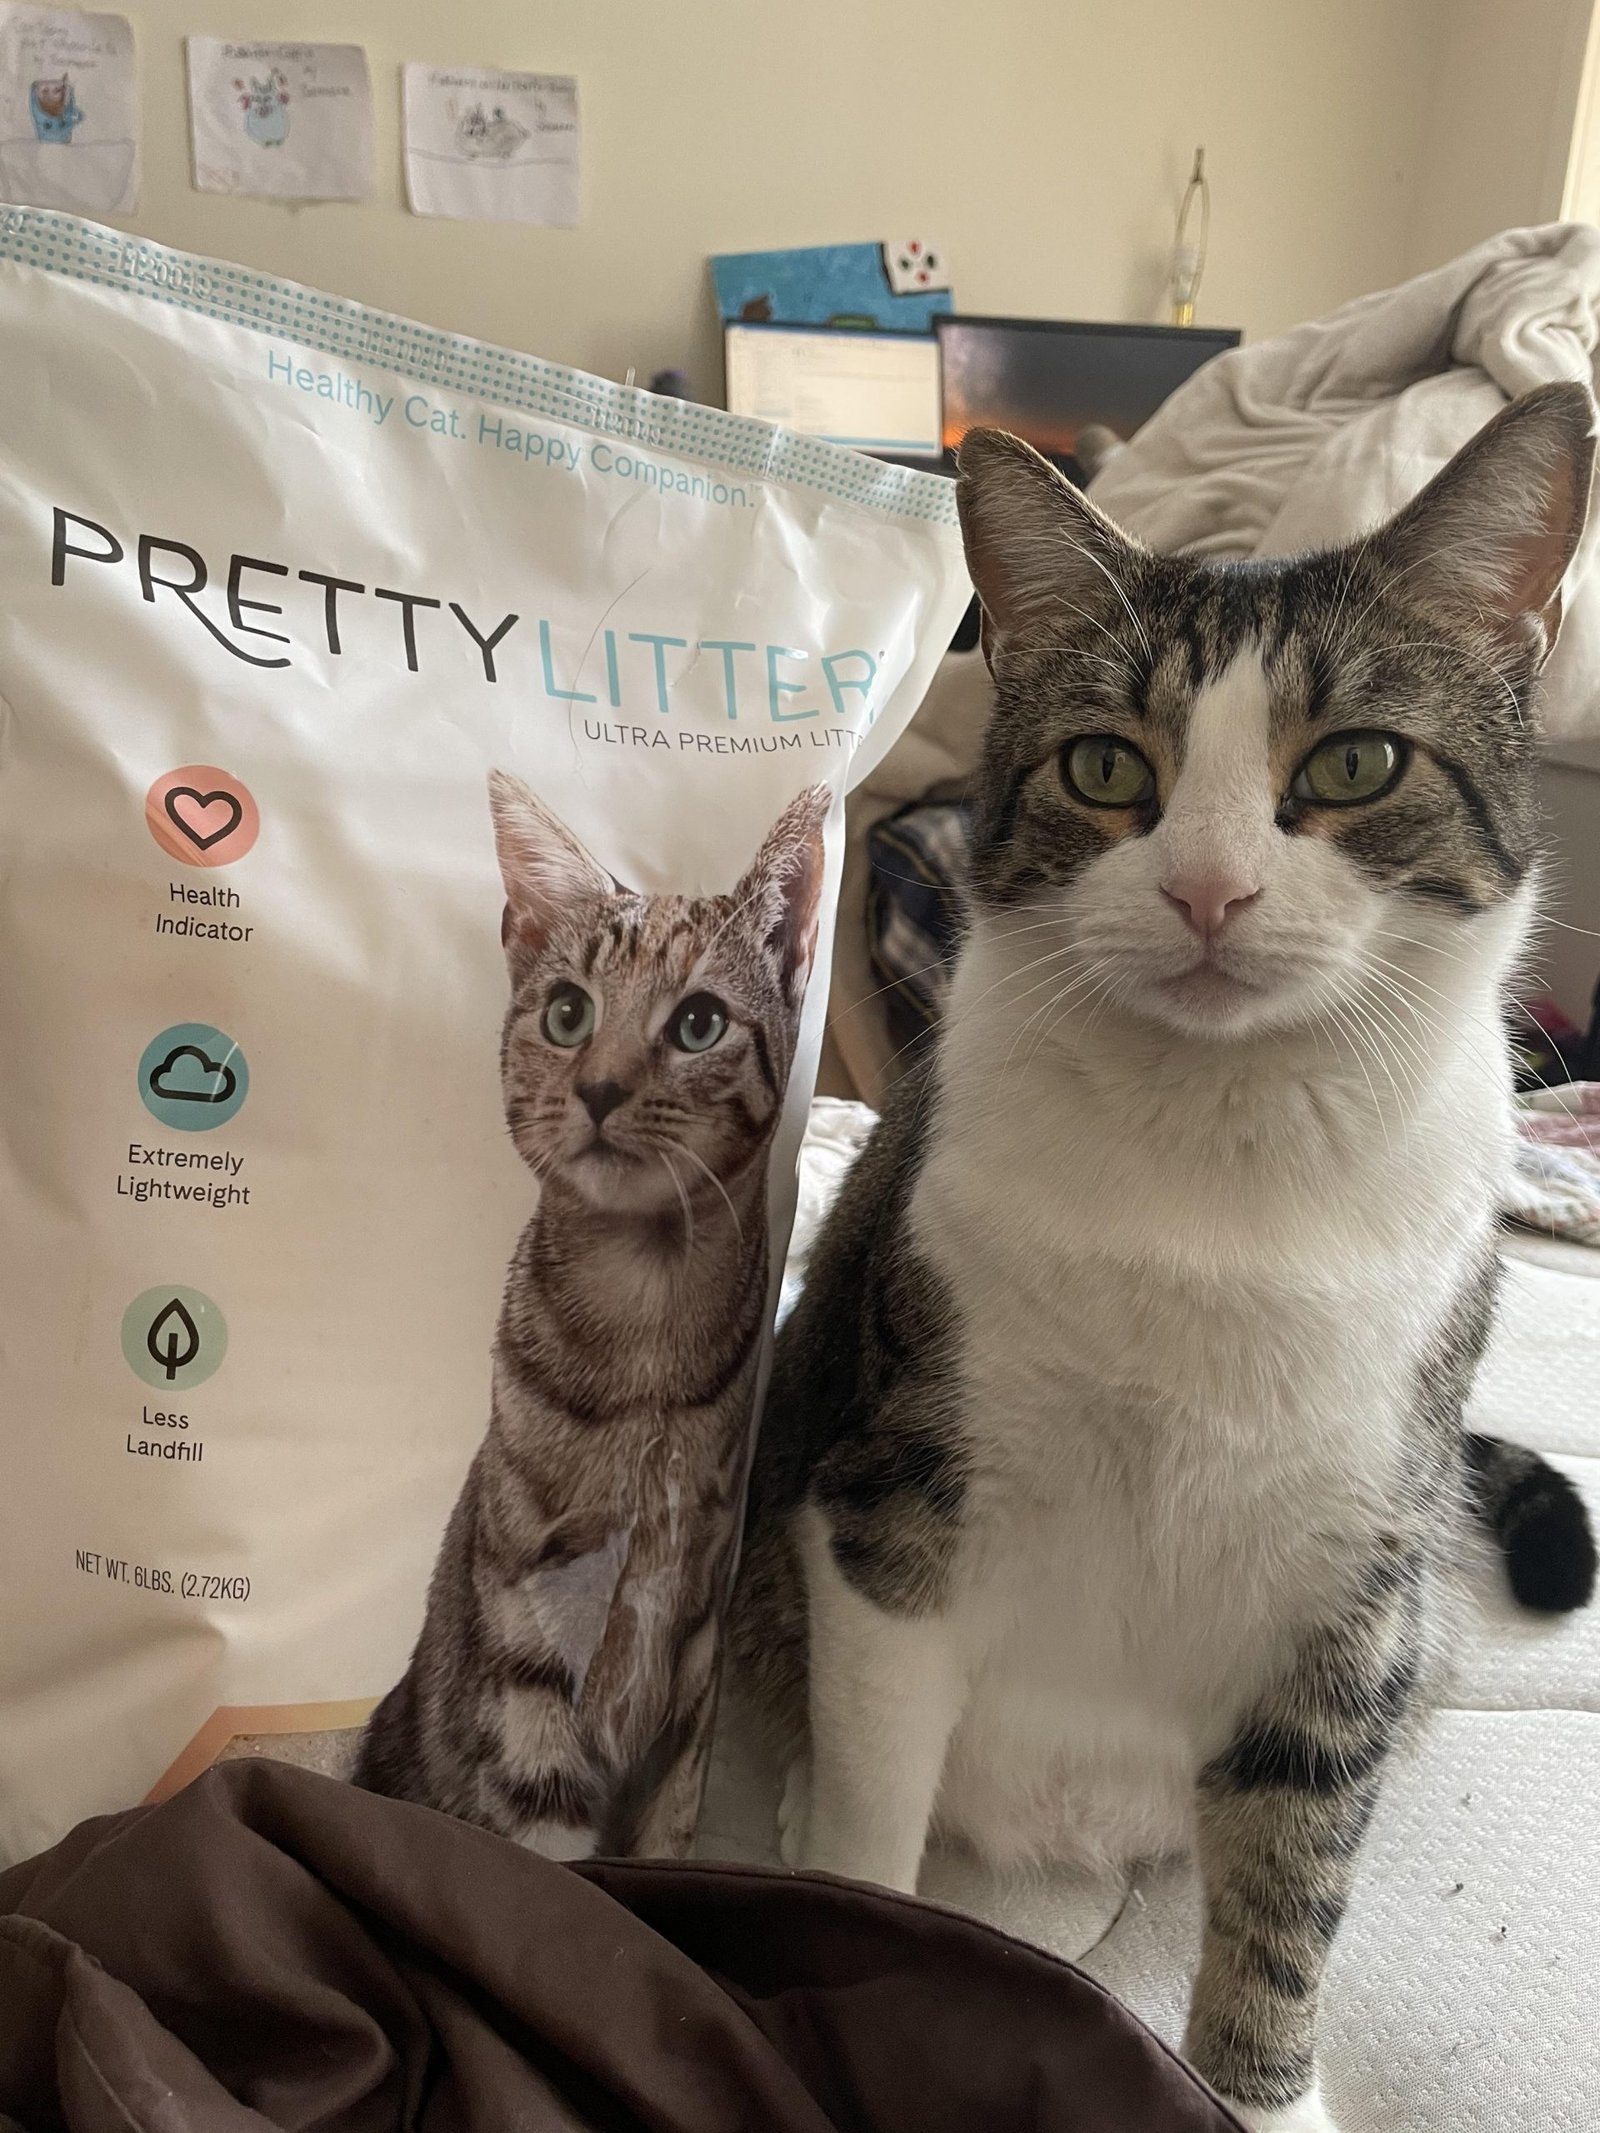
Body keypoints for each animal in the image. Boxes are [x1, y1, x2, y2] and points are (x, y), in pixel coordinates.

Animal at [356, 772, 828, 1859]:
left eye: (698, 1023)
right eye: (568, 1012)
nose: (601, 1088)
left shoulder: (695, 1648)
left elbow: (663, 1838)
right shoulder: (528, 1645)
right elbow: (549, 1859)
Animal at [731, 386, 1599, 2133]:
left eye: (1354, 762)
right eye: (1106, 765)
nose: (1209, 887)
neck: (1222, 1151)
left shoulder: (1356, 1572)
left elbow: (1292, 1879)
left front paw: (1258, 2089)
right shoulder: (896, 1488)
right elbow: (876, 1786)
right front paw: (850, 1924)